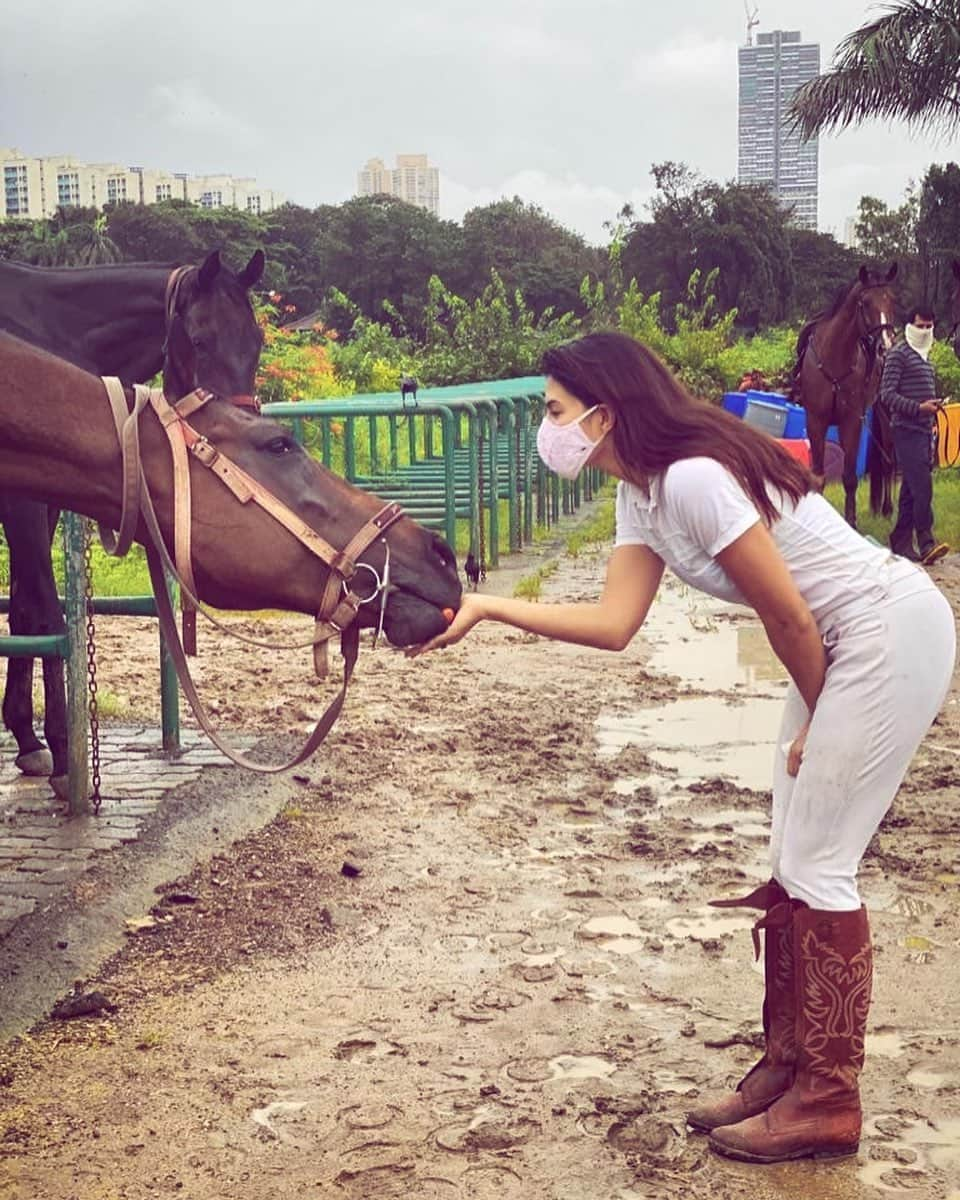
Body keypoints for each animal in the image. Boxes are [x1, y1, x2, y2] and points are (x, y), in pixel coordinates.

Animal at [0, 252, 262, 787]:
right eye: (200, 339)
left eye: (258, 342)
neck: (50, 331)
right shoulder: (23, 507)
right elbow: (48, 614)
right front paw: (62, 748)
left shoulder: (43, 504)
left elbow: (23, 613)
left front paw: (27, 737)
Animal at [792, 265, 897, 528]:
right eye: (865, 303)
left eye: (892, 300)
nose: (885, 347)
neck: (834, 356)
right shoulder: (816, 420)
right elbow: (818, 475)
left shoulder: (851, 421)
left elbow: (849, 477)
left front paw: (851, 521)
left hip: (886, 411)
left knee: (888, 459)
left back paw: (887, 508)